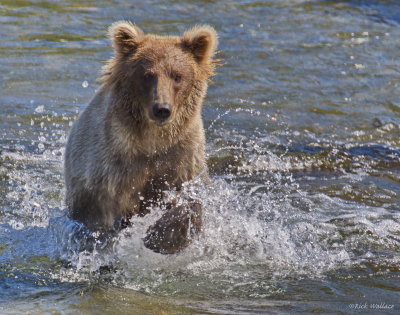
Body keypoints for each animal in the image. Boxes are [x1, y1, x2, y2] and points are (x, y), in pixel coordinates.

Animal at [64, 21, 219, 254]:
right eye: (147, 75)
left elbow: (192, 199)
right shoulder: (114, 166)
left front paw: (164, 236)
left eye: (177, 75)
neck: (152, 141)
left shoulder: (183, 156)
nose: (162, 109)